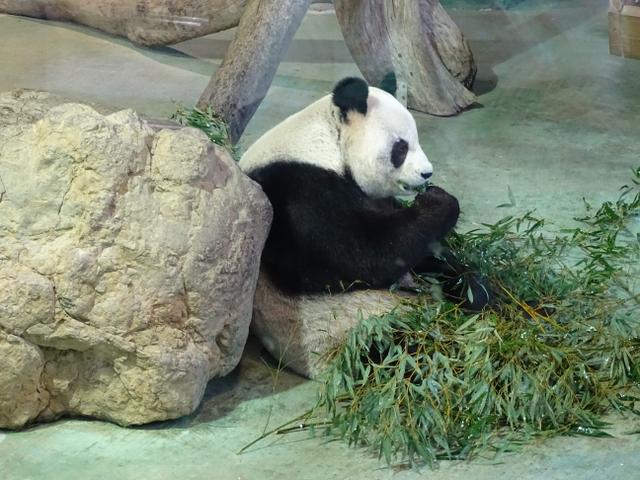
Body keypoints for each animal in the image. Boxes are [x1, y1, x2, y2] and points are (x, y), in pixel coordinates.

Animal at [240, 77, 490, 311]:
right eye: (401, 148)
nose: (427, 173)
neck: (329, 143)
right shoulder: (300, 188)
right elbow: (361, 251)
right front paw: (438, 200)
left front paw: (473, 288)